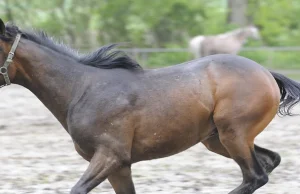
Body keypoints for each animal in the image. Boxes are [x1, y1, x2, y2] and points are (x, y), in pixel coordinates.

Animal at [0, 18, 300, 194]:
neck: (82, 89)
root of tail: (266, 73)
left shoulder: (110, 156)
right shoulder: (119, 167)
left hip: (233, 134)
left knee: (255, 177)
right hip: (217, 139)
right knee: (269, 162)